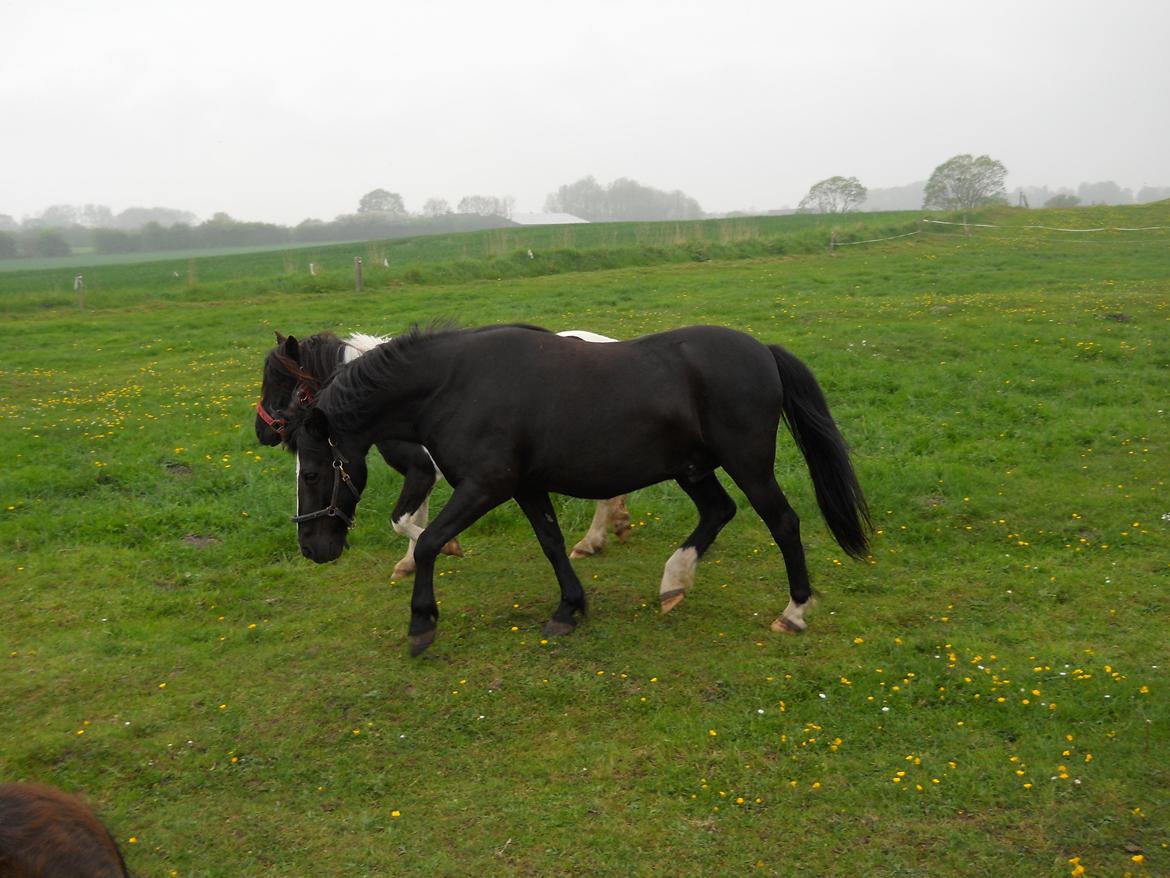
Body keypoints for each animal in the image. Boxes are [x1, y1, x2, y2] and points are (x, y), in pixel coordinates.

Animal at [256, 330, 631, 578]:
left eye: (281, 385)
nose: (262, 433)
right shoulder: (422, 474)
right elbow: (416, 516)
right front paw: (409, 563)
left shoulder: (422, 471)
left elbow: (403, 521)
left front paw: (447, 547)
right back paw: (613, 528)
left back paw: (591, 540)